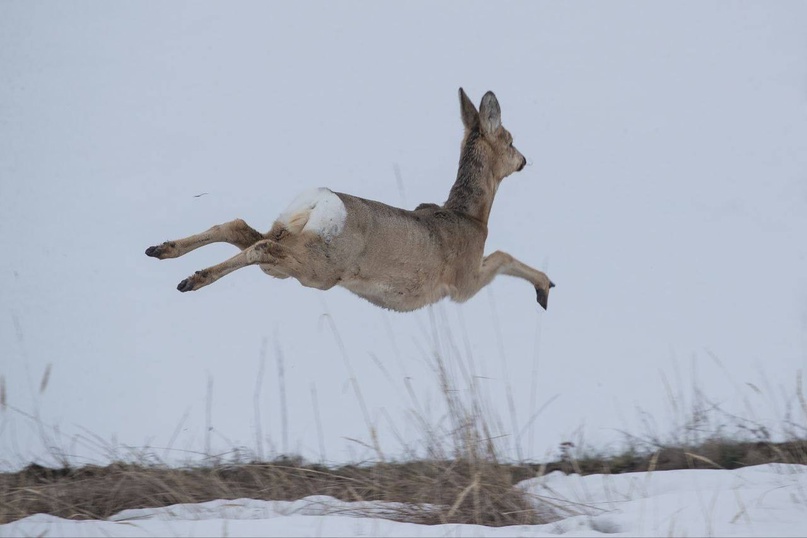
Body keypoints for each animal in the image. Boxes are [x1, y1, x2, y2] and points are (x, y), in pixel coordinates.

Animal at [145, 89, 556, 310]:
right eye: (510, 139)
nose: (523, 160)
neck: (472, 217)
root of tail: (318, 203)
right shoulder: (463, 281)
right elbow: (502, 256)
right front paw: (545, 288)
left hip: (290, 238)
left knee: (239, 227)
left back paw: (163, 251)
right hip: (318, 266)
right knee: (260, 247)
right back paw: (191, 280)